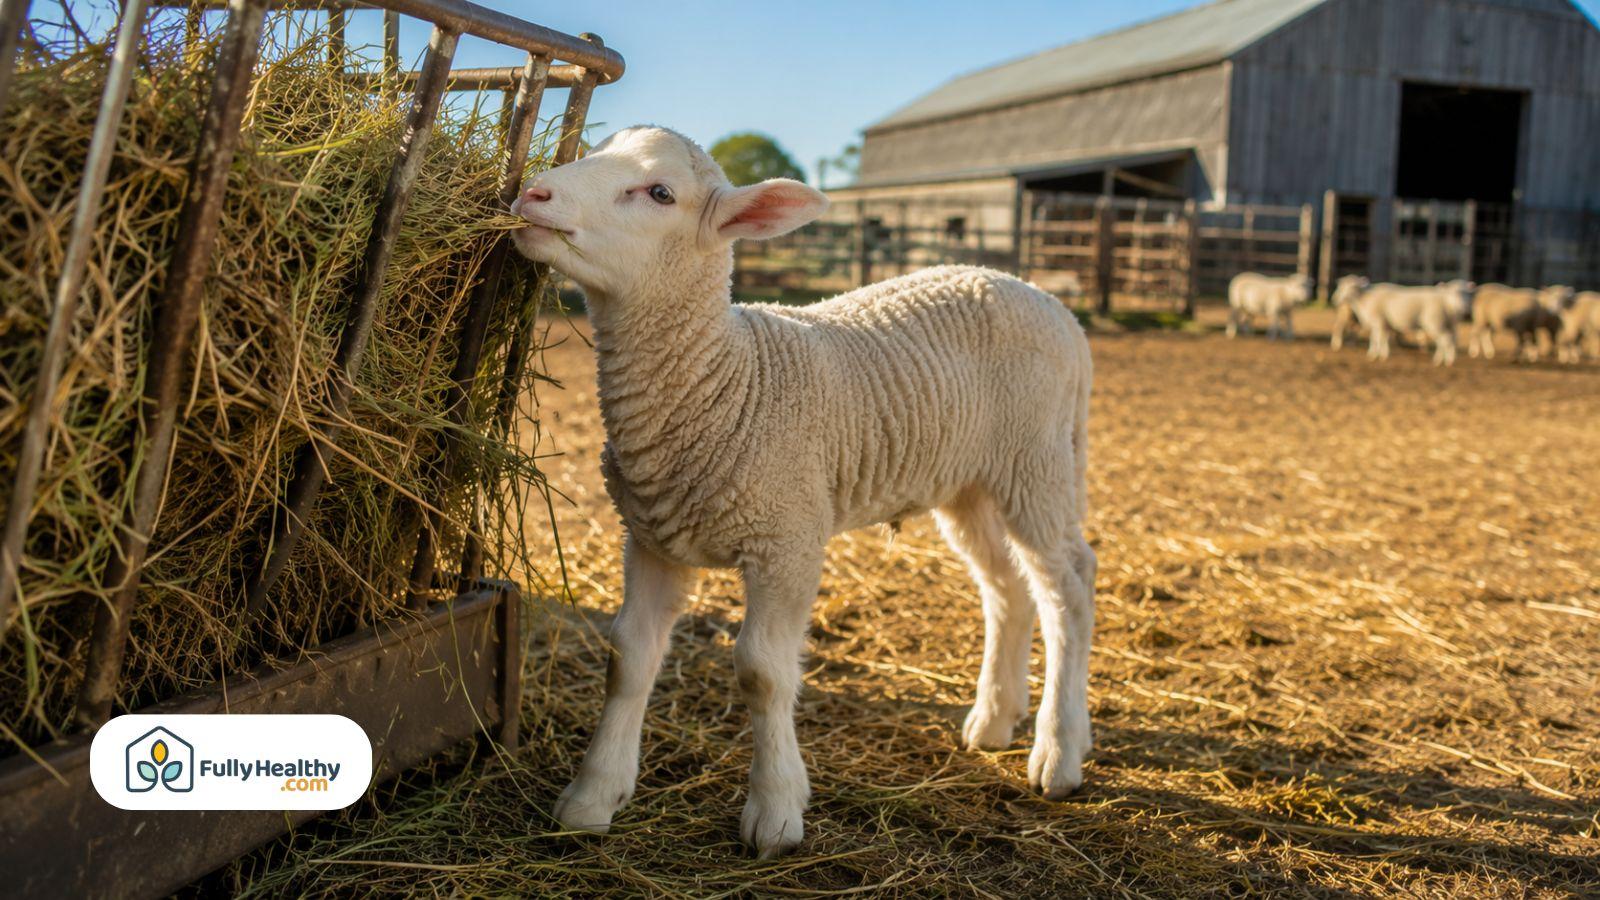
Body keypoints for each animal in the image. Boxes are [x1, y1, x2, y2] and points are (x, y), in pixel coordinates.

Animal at [508, 127, 1096, 858]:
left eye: (660, 192)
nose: (533, 194)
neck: (723, 378)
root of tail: (1052, 304)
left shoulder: (785, 539)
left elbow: (762, 672)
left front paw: (776, 812)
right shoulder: (649, 538)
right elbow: (628, 657)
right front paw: (592, 796)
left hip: (1036, 463)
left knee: (1067, 588)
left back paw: (1059, 751)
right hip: (971, 481)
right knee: (1006, 587)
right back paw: (993, 720)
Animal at [1332, 278, 1472, 365]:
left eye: (1352, 287)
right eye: (1341, 287)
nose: (1335, 300)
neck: (1365, 298)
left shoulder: (1378, 321)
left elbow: (1378, 338)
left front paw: (1377, 355)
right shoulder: (1383, 323)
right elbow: (1379, 338)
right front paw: (1380, 354)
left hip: (1435, 321)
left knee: (1445, 339)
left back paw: (1447, 361)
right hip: (1450, 323)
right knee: (1451, 339)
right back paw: (1444, 359)